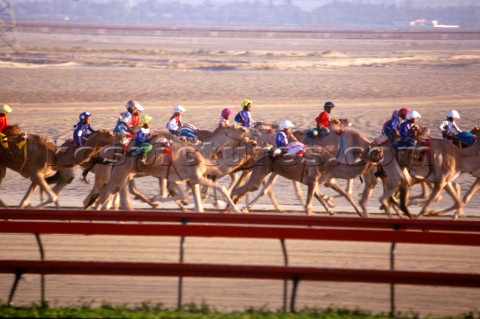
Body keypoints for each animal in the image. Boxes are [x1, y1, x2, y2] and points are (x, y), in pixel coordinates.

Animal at [229, 146, 382, 218]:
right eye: (374, 151)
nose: (381, 150)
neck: (330, 164)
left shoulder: (324, 180)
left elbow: (345, 194)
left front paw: (359, 214)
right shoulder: (313, 180)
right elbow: (309, 205)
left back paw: (236, 208)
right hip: (262, 169)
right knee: (246, 188)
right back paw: (234, 209)